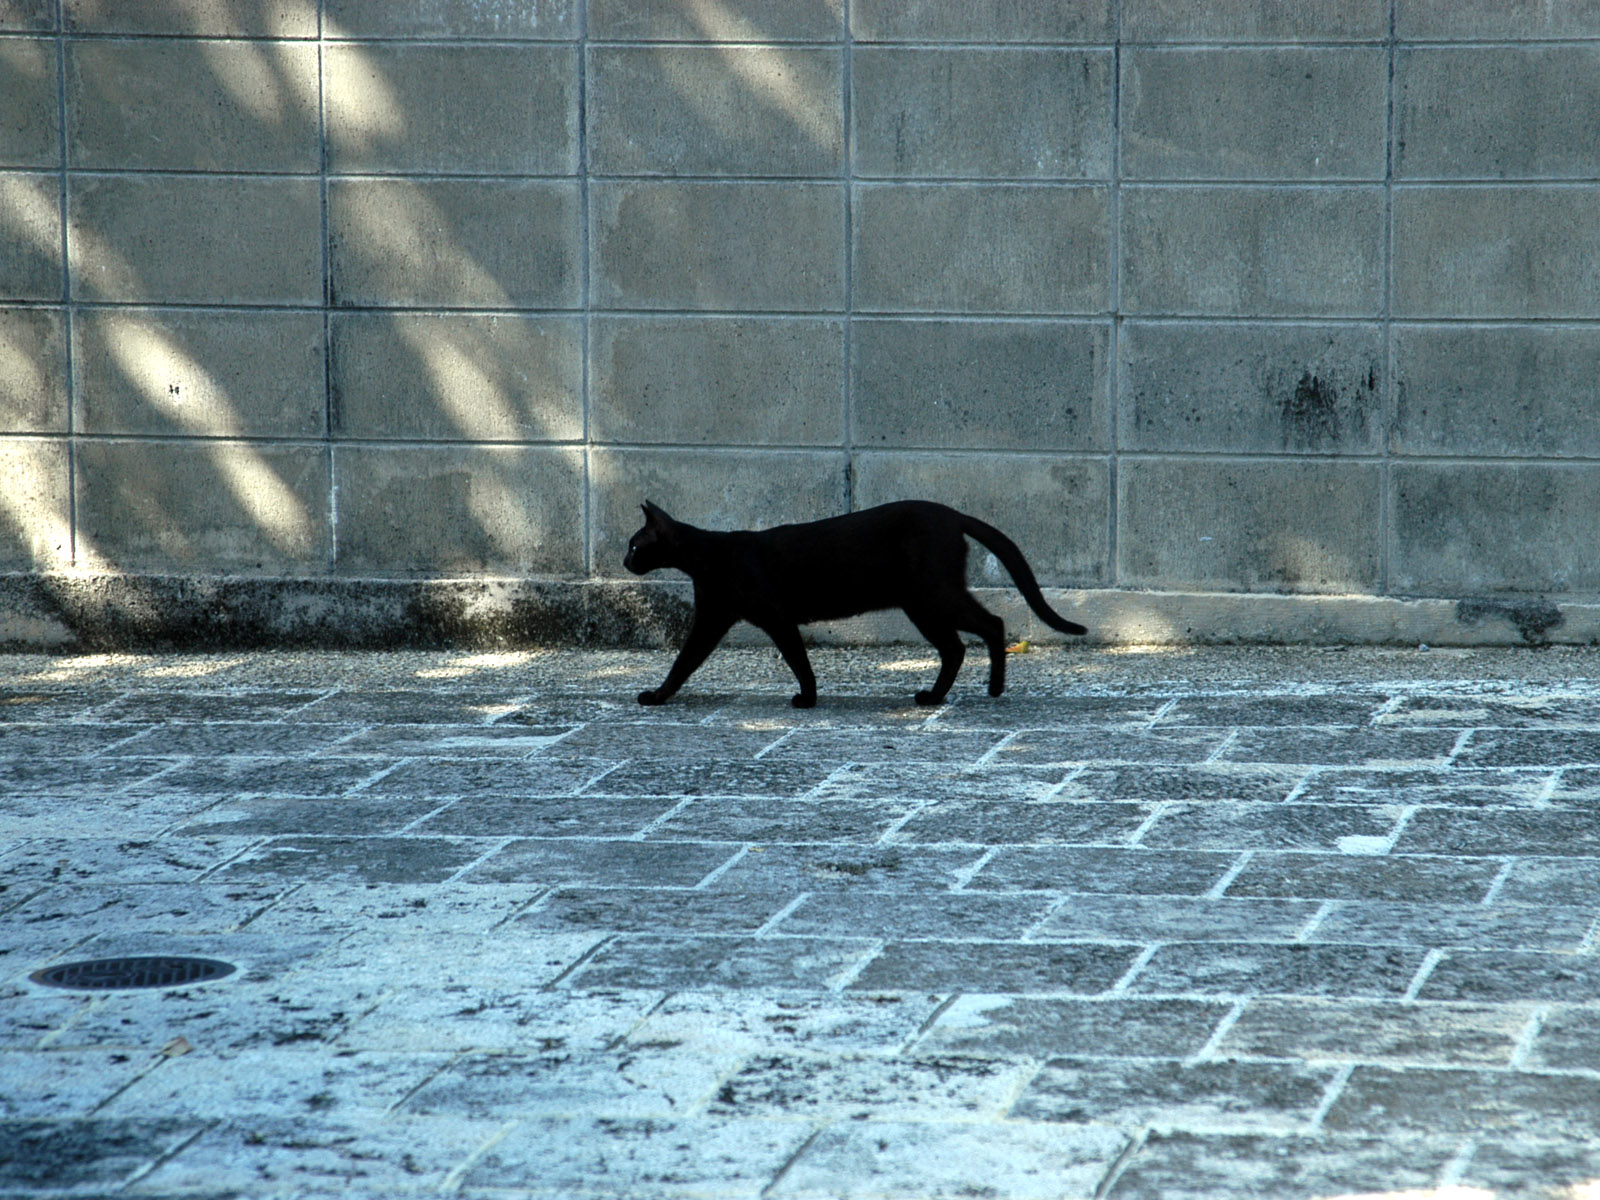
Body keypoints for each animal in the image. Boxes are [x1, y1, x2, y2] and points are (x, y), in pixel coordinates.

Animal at [624, 499, 1088, 710]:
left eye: (634, 544)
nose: (625, 560)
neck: (706, 558)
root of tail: (952, 513)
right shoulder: (712, 619)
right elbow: (684, 662)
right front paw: (659, 695)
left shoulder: (775, 616)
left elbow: (797, 658)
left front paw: (807, 699)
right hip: (923, 604)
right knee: (956, 647)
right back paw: (933, 697)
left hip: (933, 596)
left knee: (991, 624)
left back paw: (993, 689)